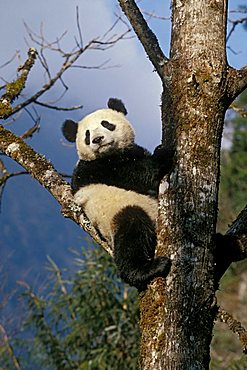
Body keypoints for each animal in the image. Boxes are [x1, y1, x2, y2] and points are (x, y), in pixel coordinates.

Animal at [62, 99, 172, 292]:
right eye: (87, 135)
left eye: (106, 124)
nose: (98, 140)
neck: (110, 154)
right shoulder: (99, 169)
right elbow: (143, 174)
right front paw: (163, 152)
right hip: (118, 214)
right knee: (132, 231)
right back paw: (147, 269)